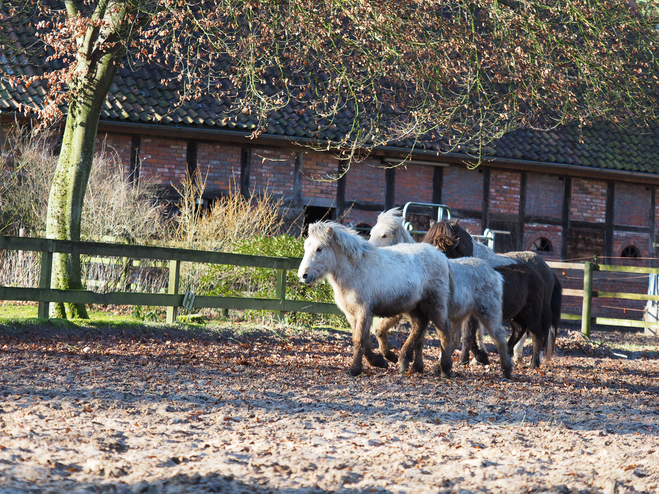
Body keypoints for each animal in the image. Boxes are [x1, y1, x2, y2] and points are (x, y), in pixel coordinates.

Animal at [300, 220, 458, 374]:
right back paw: (405, 360)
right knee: (420, 325)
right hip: (414, 307)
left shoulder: (363, 311)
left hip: (435, 305)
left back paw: (444, 368)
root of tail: (443, 257)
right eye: (305, 247)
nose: (303, 275)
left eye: (319, 248)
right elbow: (362, 340)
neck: (355, 270)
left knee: (444, 332)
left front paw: (355, 369)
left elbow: (359, 340)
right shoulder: (352, 315)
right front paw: (379, 362)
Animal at [368, 208, 512, 378]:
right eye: (371, 232)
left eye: (384, 235)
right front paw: (409, 362)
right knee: (458, 337)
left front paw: (405, 360)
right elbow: (384, 330)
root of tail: (495, 273)